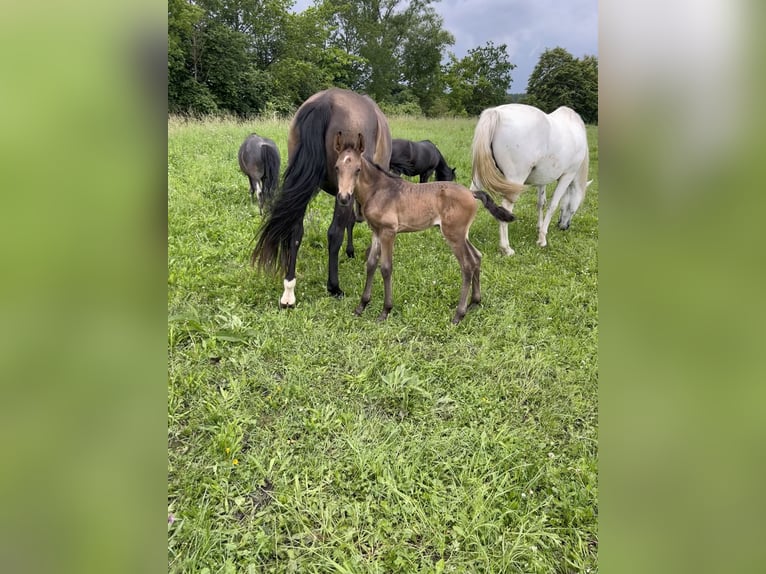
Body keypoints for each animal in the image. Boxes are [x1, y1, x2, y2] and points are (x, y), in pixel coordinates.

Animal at [336, 133, 516, 326]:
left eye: (358, 170)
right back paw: (474, 302)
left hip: (453, 235)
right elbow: (370, 265)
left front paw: (385, 311)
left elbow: (385, 268)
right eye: (337, 168)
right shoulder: (376, 232)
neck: (378, 190)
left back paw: (458, 315)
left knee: (467, 265)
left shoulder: (388, 232)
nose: (344, 198)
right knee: (477, 257)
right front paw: (361, 306)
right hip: (461, 235)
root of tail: (472, 193)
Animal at [468, 104, 592, 256]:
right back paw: (506, 248)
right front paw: (542, 239)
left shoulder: (543, 179)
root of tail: (497, 112)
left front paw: (539, 228)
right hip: (515, 180)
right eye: (575, 209)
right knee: (505, 208)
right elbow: (553, 205)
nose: (564, 227)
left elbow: (541, 203)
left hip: (479, 177)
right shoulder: (567, 176)